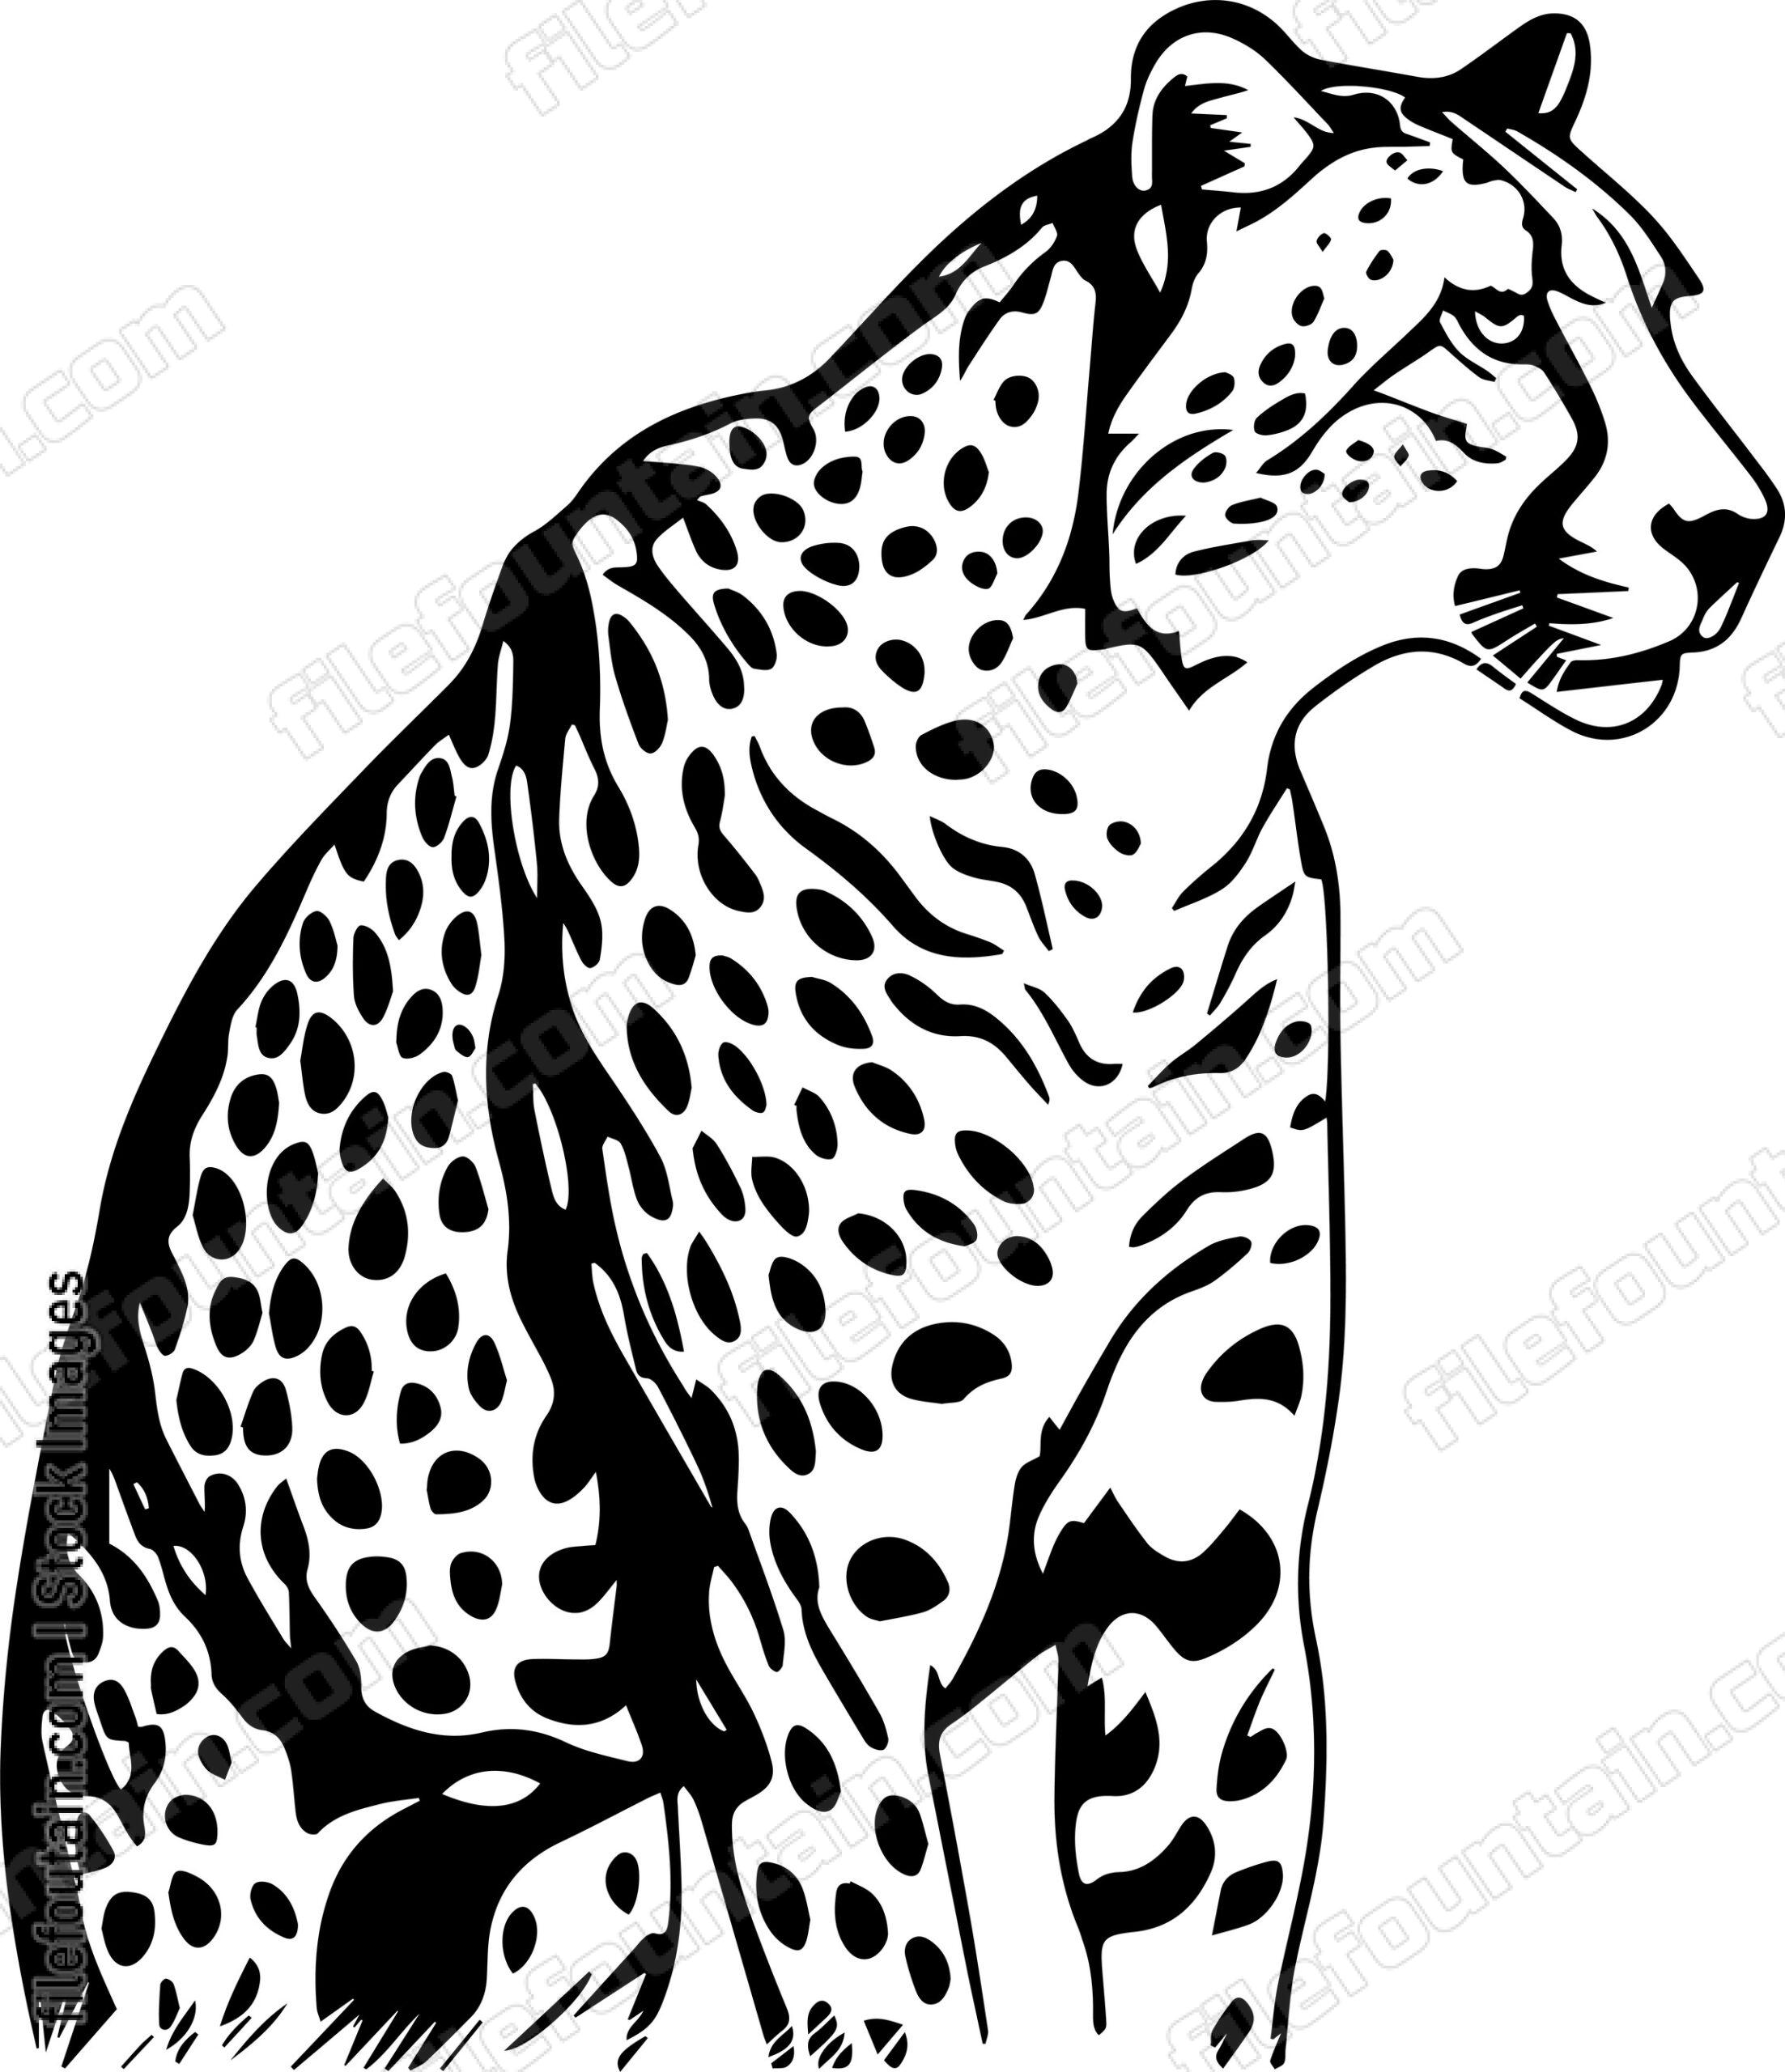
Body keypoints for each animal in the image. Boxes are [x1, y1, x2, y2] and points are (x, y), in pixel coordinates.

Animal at [5, 6, 1777, 2069]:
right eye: (1490, 318)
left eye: (1672, 308)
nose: (1743, 530)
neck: (1132, 791)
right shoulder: (810, 1633)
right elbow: (897, 1992)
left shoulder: (1208, 1575)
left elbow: (1197, 1972)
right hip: (196, 1931)